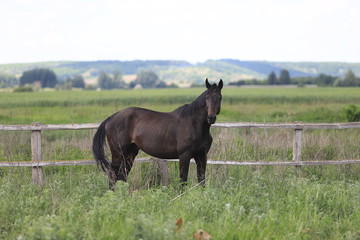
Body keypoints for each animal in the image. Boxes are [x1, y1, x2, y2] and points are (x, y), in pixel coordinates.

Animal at [93, 78, 222, 188]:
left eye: (220, 97)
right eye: (207, 97)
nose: (211, 118)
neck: (194, 124)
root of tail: (111, 118)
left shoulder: (202, 156)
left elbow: (202, 180)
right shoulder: (184, 156)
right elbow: (183, 181)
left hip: (130, 154)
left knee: (122, 175)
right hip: (118, 154)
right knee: (113, 175)